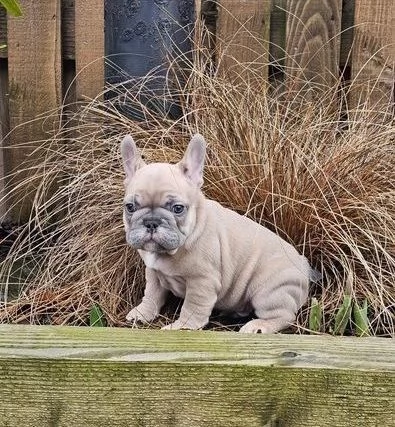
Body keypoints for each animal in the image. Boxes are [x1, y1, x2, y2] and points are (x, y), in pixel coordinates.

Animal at [122, 135, 310, 334]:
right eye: (130, 207)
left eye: (178, 208)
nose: (151, 222)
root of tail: (303, 265)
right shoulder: (153, 272)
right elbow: (151, 294)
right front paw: (142, 313)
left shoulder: (202, 281)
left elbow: (192, 307)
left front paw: (182, 326)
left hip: (269, 291)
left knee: (284, 316)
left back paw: (258, 326)